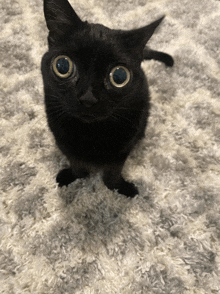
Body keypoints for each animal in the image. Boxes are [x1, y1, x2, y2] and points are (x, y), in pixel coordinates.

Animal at [41, 0, 174, 198]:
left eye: (119, 76)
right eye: (62, 66)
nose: (88, 98)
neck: (90, 133)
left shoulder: (121, 152)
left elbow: (111, 174)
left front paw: (123, 190)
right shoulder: (64, 143)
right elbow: (78, 166)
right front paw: (72, 177)